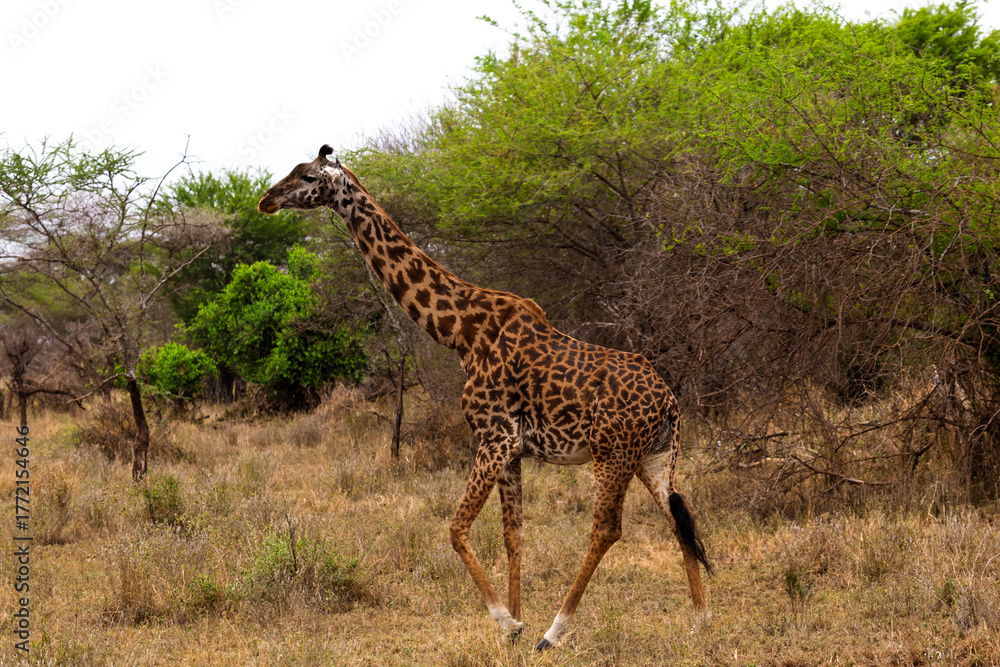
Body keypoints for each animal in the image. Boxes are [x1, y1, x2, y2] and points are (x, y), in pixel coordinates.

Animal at [259, 145, 711, 649]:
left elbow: (456, 528)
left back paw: (555, 631)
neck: (459, 331)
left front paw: (509, 622)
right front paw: (514, 625)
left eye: (307, 176)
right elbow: (513, 535)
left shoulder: (494, 437)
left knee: (607, 528)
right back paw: (699, 621)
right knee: (679, 516)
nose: (266, 200)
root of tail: (669, 403)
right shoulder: (513, 449)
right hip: (656, 456)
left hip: (611, 453)